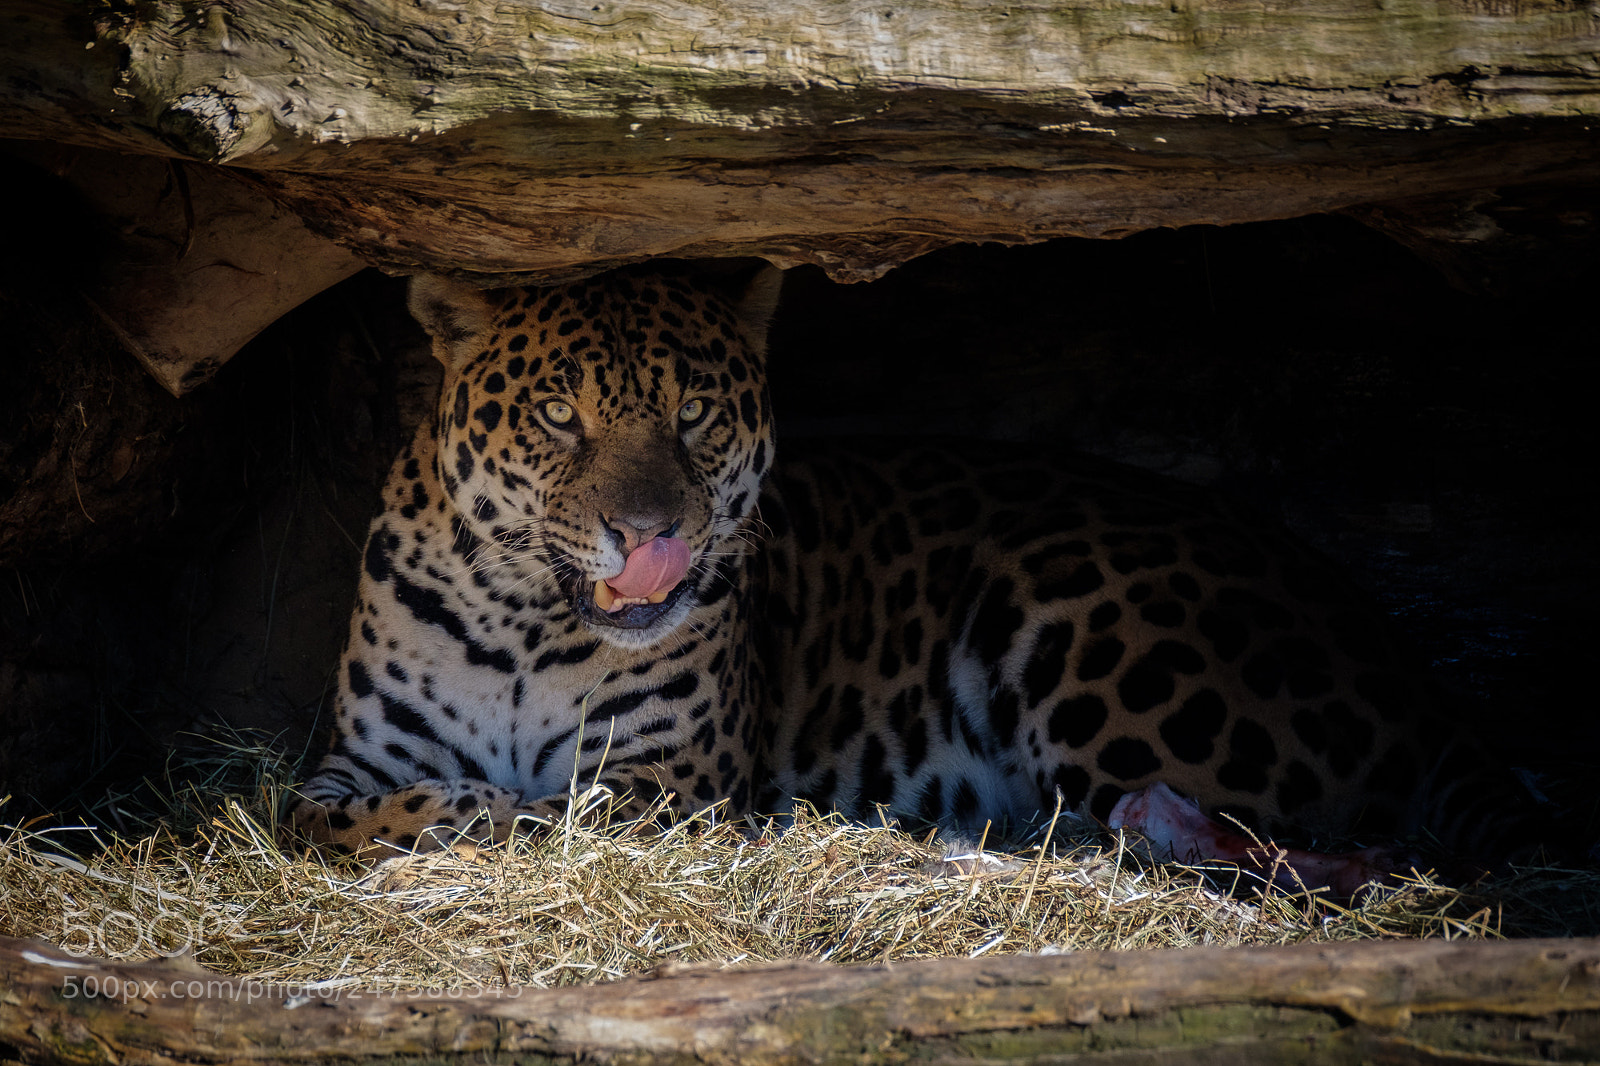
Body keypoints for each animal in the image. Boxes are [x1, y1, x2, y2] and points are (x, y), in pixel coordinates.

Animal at [288, 264, 1532, 871]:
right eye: (558, 416)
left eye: (693, 415)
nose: (652, 537)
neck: (526, 628)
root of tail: (1392, 648)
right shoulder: (351, 764)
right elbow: (329, 817)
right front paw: (457, 810)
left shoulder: (675, 780)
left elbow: (563, 813)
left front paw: (485, 815)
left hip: (1074, 610)